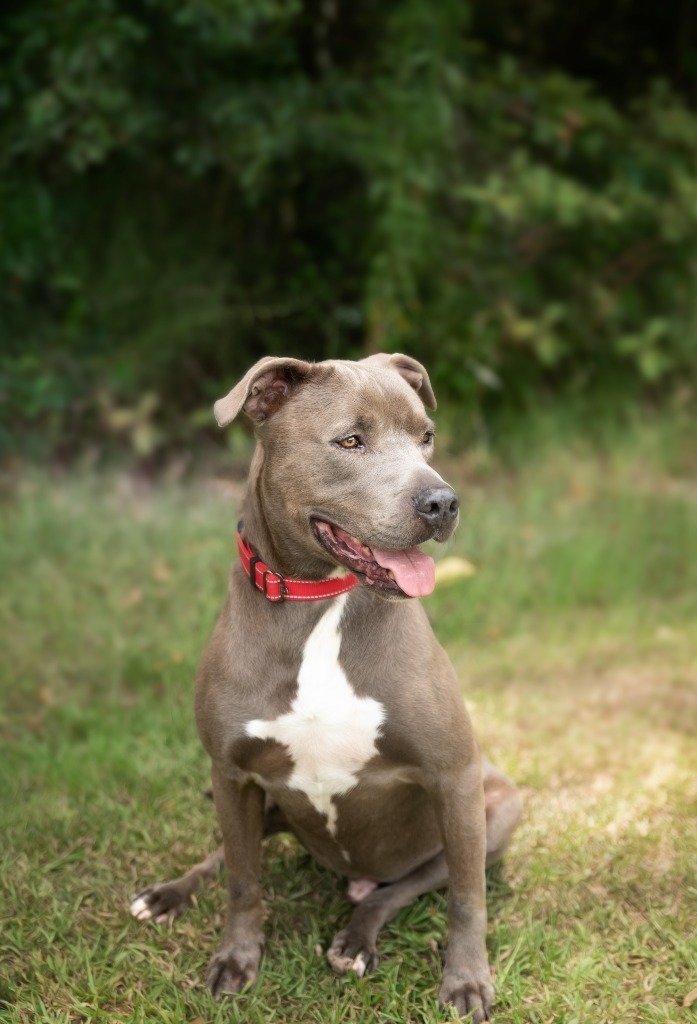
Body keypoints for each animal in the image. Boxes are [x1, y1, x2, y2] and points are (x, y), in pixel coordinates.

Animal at [132, 354, 521, 1024]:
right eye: (350, 441)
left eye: (426, 436)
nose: (443, 501)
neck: (320, 604)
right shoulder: (230, 773)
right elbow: (242, 880)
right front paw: (236, 959)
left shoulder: (453, 776)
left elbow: (467, 897)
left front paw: (468, 981)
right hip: (256, 799)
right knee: (230, 855)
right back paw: (168, 894)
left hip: (493, 810)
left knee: (399, 890)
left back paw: (356, 940)